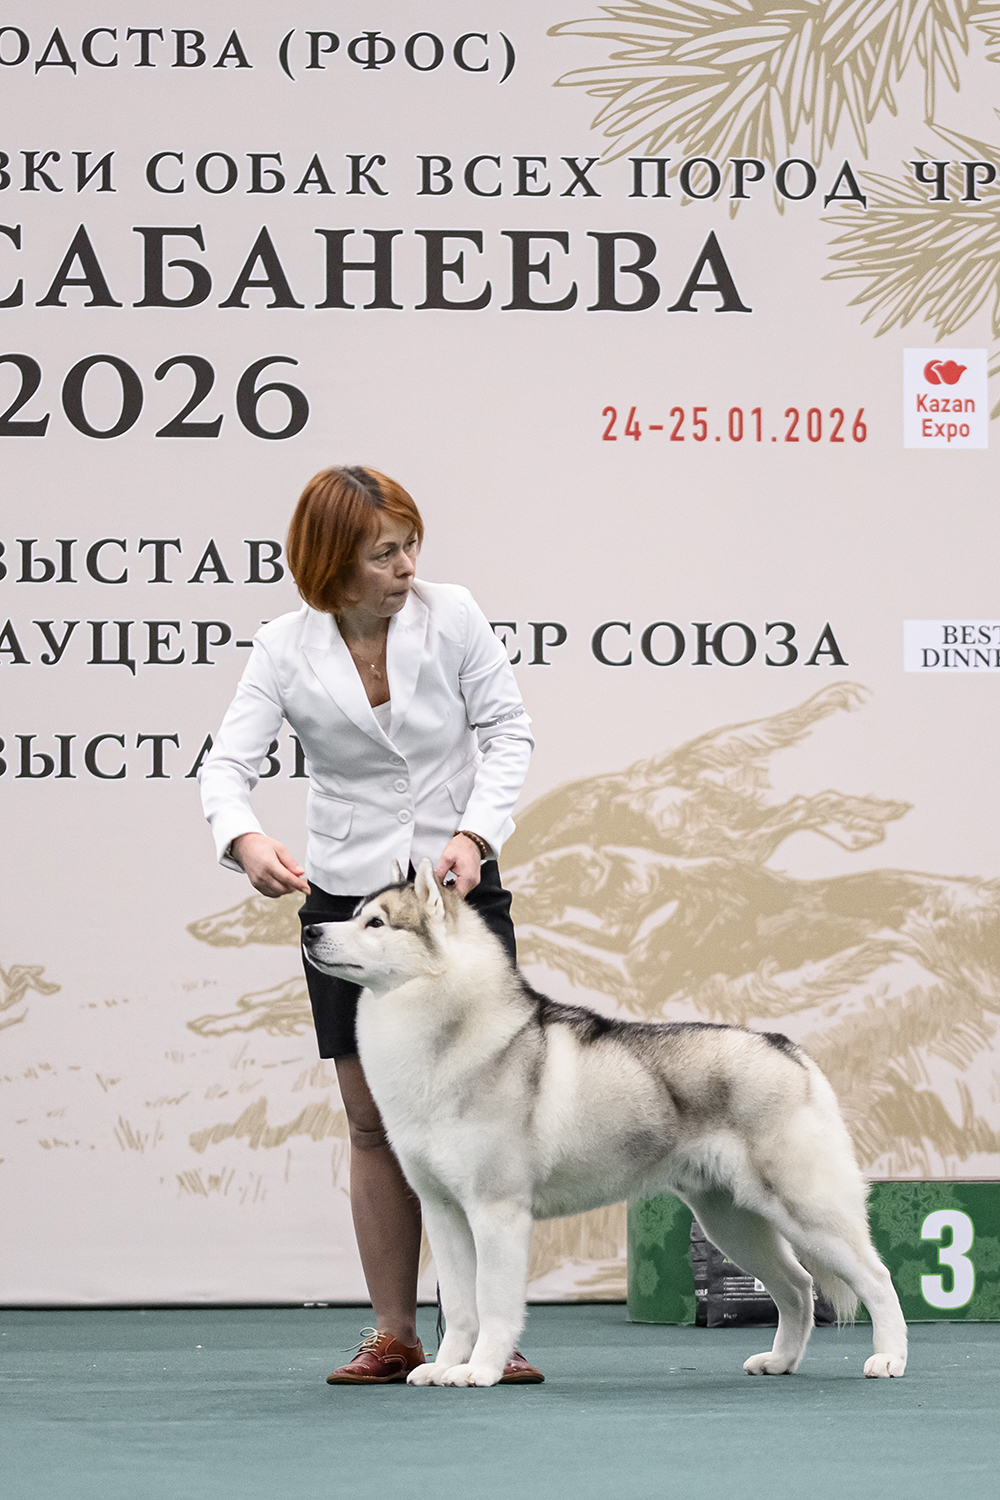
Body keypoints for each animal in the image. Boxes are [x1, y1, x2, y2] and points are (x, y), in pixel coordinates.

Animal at [302, 860, 908, 1387]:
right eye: (352, 914)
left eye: (376, 923)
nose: (310, 930)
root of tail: (787, 1048)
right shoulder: (444, 1213)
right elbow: (459, 1304)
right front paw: (445, 1365)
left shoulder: (497, 1213)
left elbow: (493, 1303)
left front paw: (482, 1370)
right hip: (731, 1223)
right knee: (799, 1287)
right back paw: (780, 1362)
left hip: (806, 1209)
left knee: (876, 1278)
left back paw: (889, 1359)